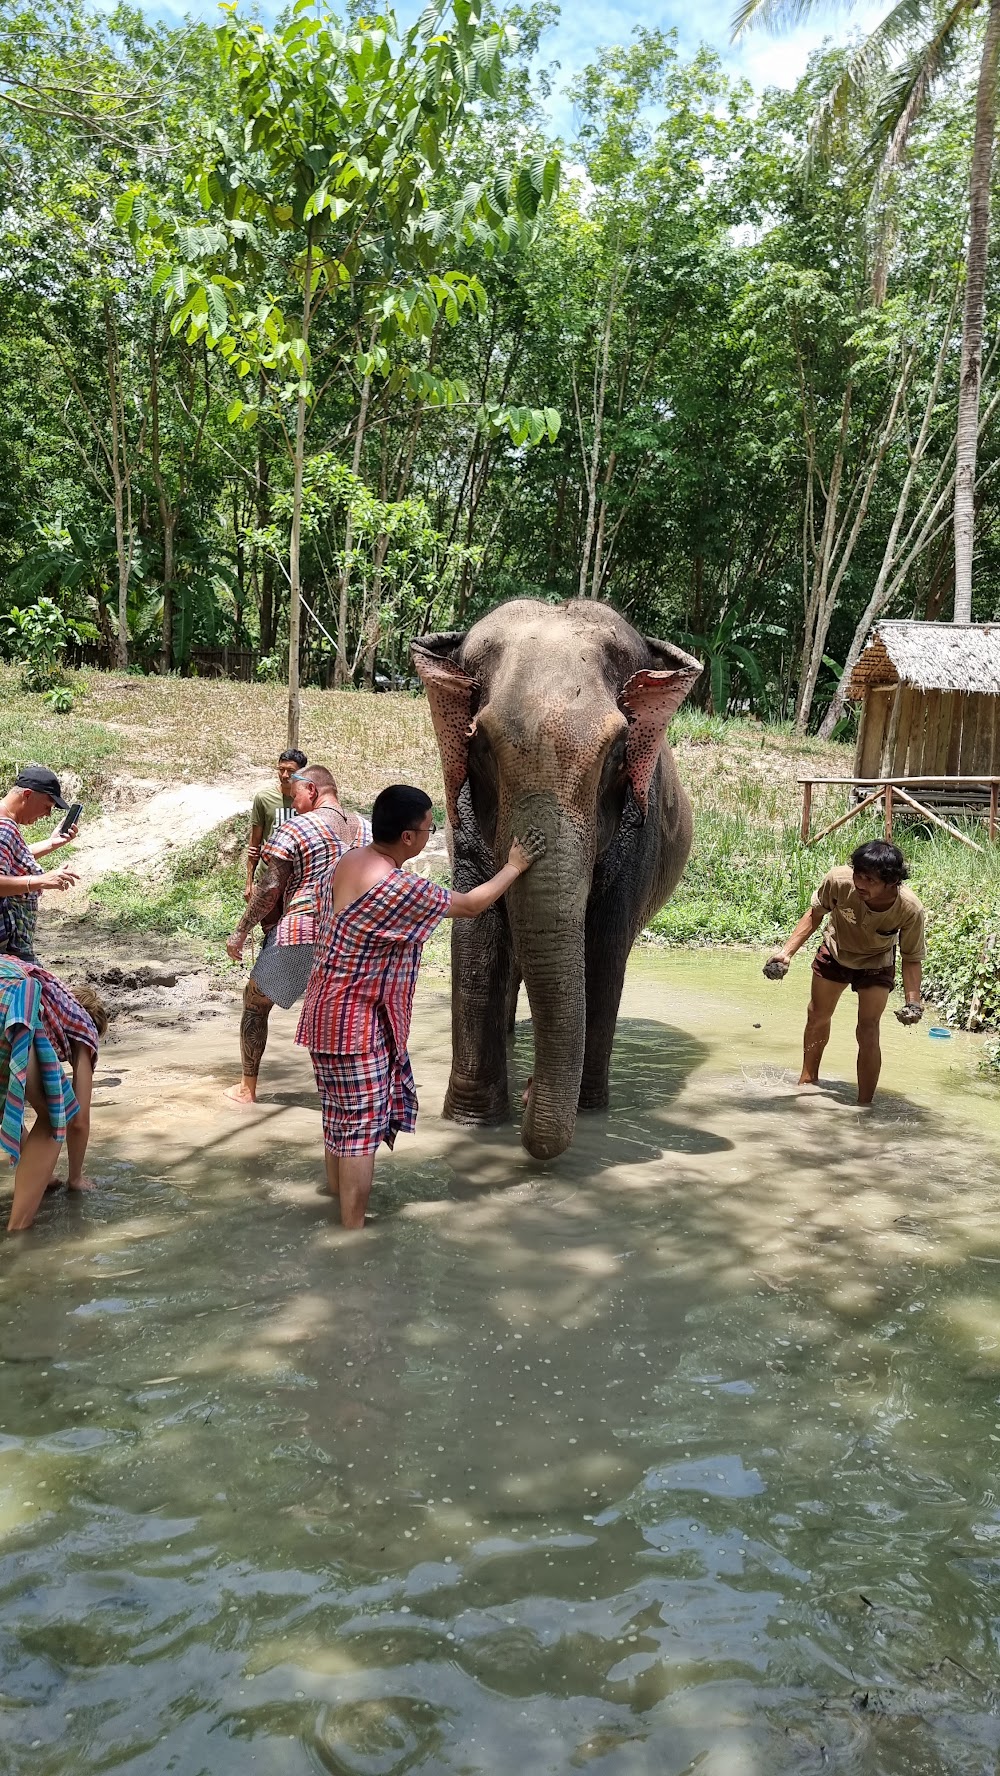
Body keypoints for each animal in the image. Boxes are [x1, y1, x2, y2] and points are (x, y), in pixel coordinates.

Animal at [410, 596, 699, 1165]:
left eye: (618, 751)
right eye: (479, 743)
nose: (528, 1095)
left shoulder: (639, 833)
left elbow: (603, 947)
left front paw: (587, 1115)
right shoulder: (465, 822)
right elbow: (478, 935)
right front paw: (473, 1123)